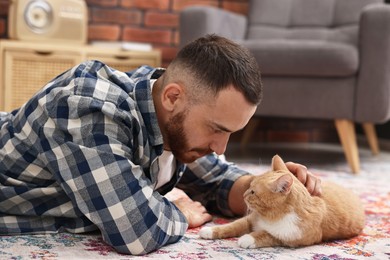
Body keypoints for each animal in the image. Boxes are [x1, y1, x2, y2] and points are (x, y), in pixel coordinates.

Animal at [198, 155, 366, 249]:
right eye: (249, 186)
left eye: (253, 192)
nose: (244, 194)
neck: (272, 216)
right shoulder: (250, 219)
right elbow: (233, 225)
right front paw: (211, 230)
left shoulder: (296, 238)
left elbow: (268, 235)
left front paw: (248, 238)